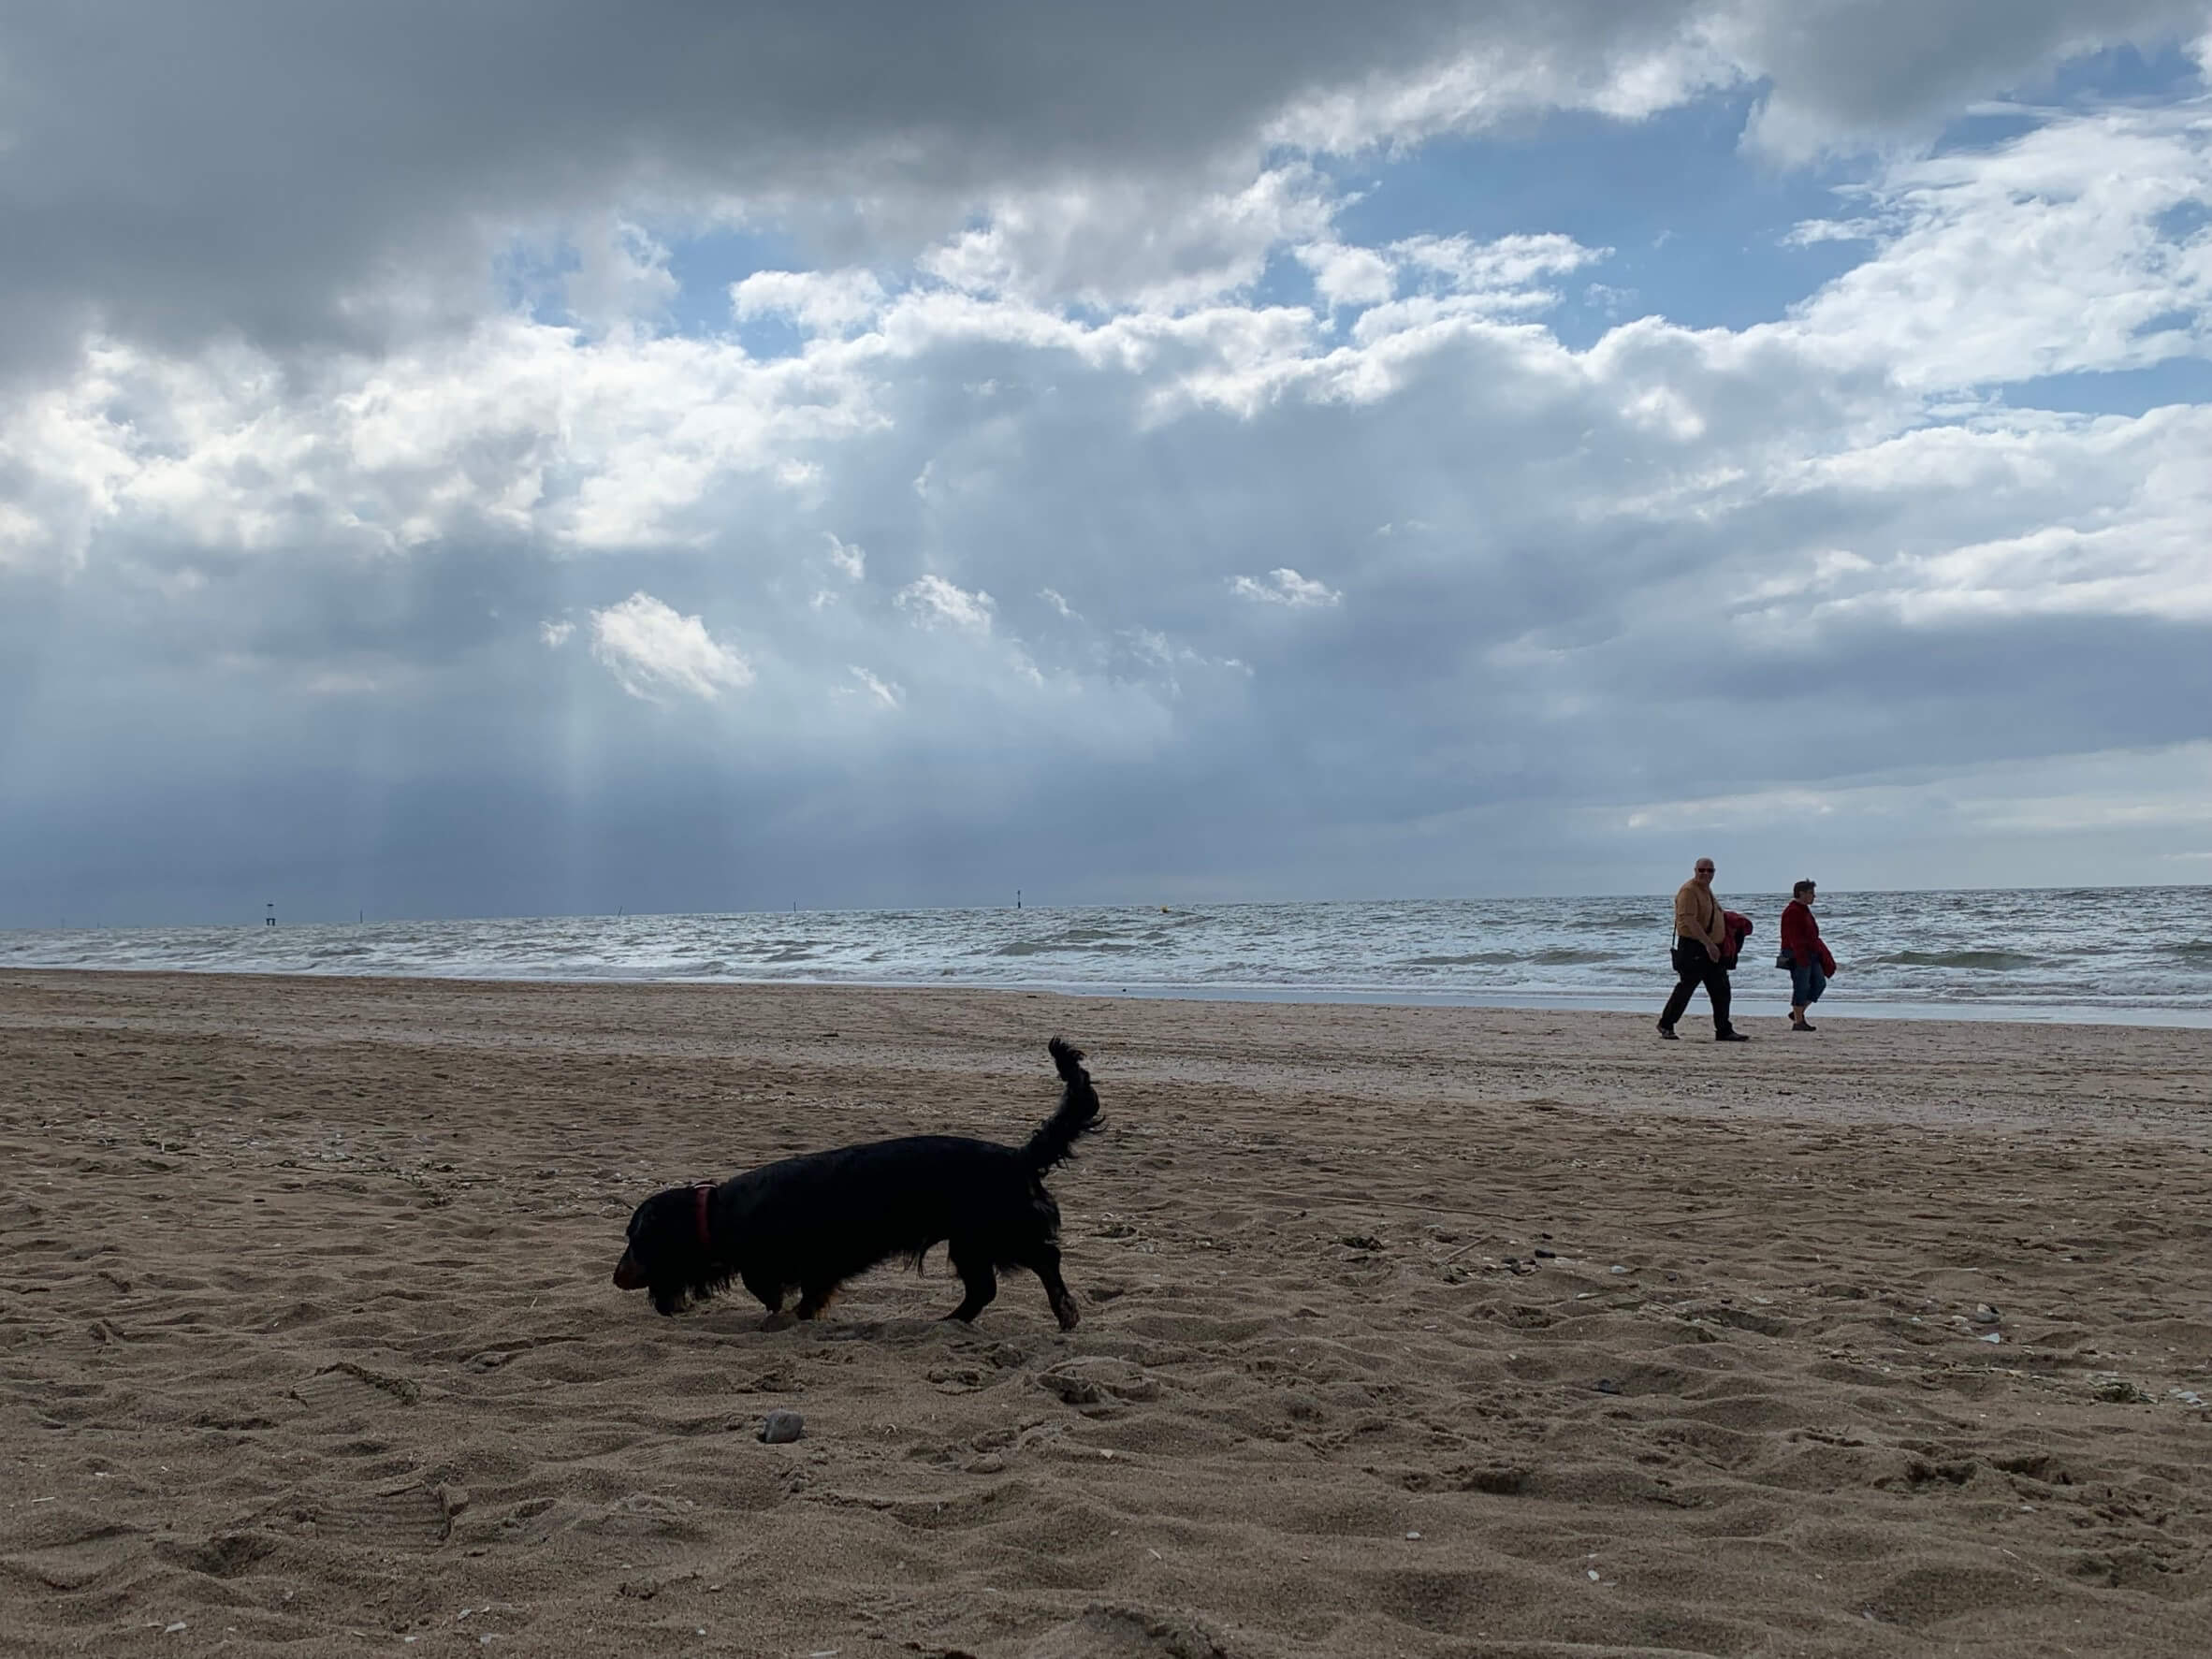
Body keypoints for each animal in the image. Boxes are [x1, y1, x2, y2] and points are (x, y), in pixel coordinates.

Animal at [610, 1040, 1101, 1335]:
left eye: (636, 1239)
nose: (615, 1278)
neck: (718, 1212)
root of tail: (1017, 1156)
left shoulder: (787, 1260)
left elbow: (772, 1289)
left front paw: (786, 1315)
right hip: (972, 1242)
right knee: (985, 1288)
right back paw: (952, 1321)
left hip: (993, 1233)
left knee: (1044, 1260)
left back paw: (1061, 1309)